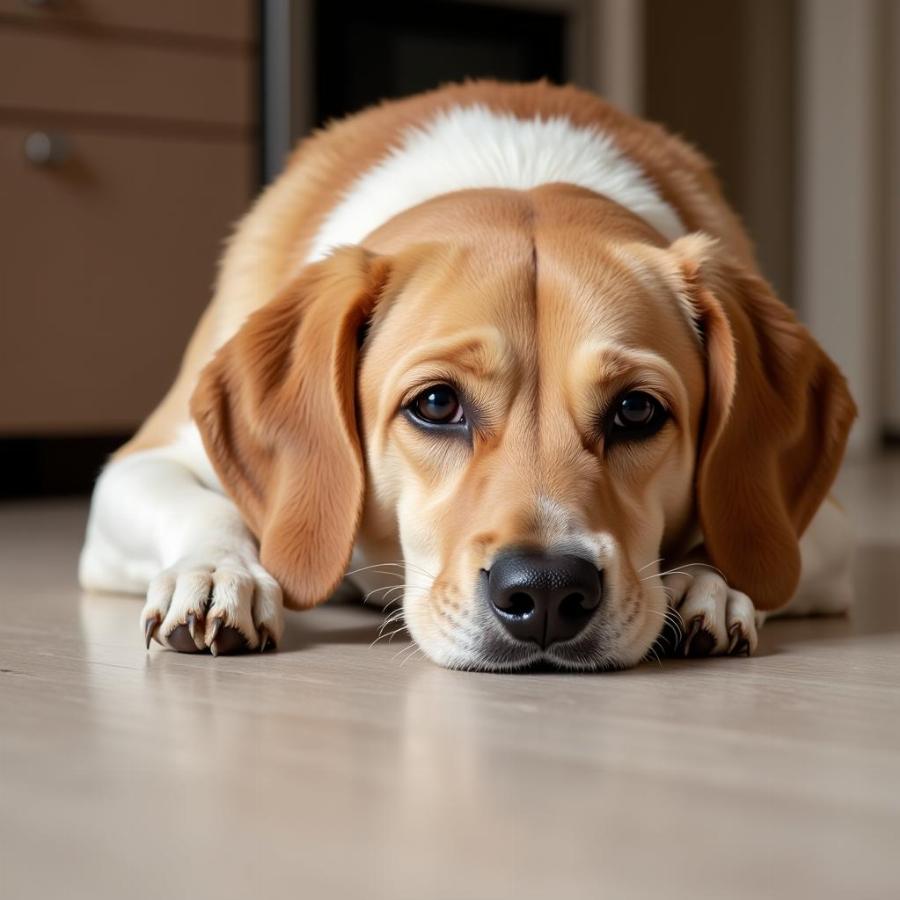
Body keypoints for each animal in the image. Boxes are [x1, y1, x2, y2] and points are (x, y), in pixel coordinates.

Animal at [79, 82, 856, 668]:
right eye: (435, 403)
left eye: (637, 411)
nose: (548, 593)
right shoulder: (139, 466)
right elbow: (204, 508)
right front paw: (218, 574)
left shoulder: (820, 532)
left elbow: (744, 542)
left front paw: (705, 584)